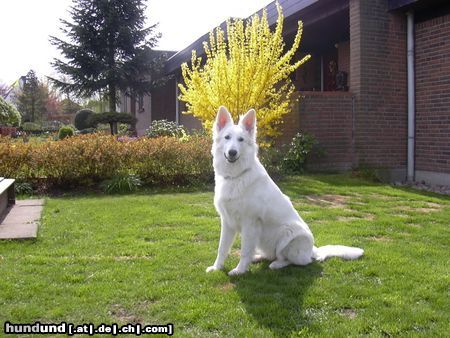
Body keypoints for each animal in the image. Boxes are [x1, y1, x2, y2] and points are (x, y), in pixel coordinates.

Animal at [206, 107, 364, 276]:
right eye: (227, 138)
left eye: (241, 140)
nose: (232, 152)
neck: (236, 176)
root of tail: (313, 250)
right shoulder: (227, 222)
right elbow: (222, 248)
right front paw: (217, 267)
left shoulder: (250, 223)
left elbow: (245, 251)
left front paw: (239, 270)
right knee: (271, 254)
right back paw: (257, 257)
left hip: (288, 234)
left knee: (294, 260)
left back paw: (276, 264)